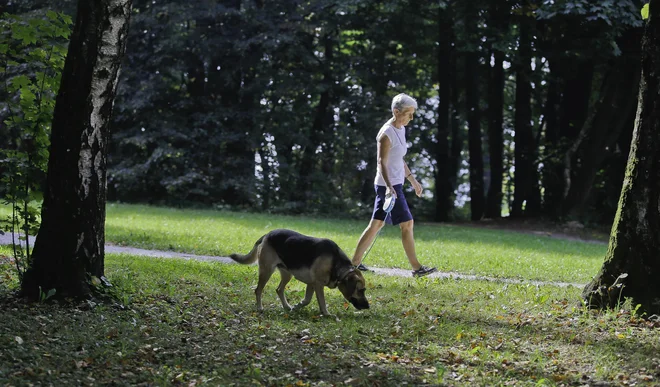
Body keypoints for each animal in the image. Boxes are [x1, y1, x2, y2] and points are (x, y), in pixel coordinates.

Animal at [229, 230, 368, 316]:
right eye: (361, 290)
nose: (368, 307)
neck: (337, 263)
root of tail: (267, 235)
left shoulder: (312, 284)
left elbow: (307, 300)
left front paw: (297, 306)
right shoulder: (318, 285)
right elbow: (322, 302)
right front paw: (326, 314)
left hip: (287, 274)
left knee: (279, 289)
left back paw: (287, 306)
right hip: (266, 271)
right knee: (258, 290)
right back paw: (259, 308)